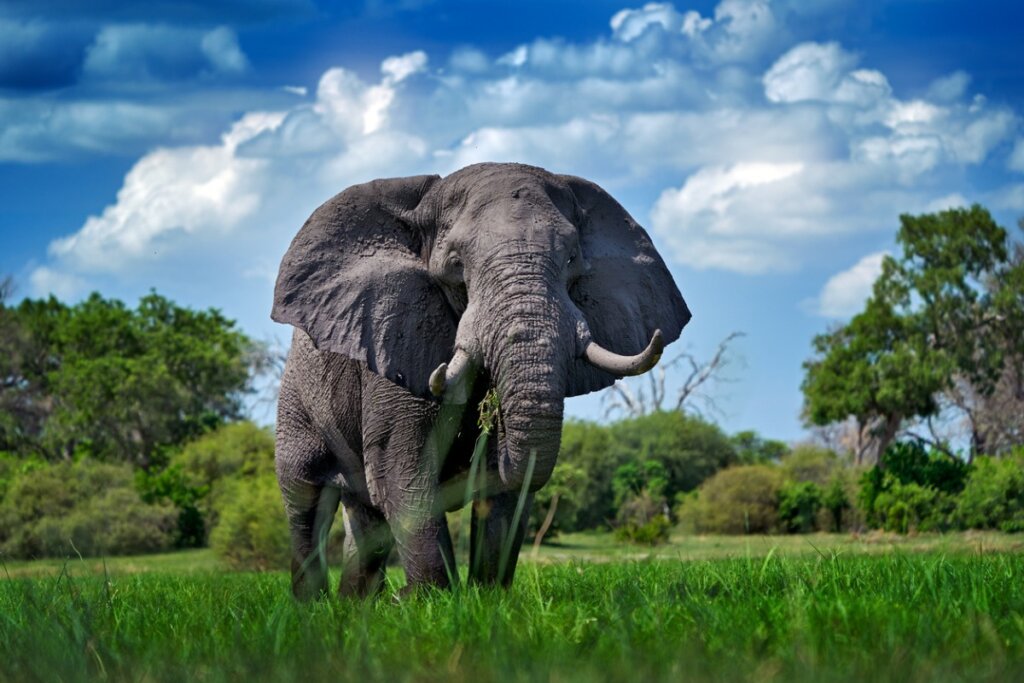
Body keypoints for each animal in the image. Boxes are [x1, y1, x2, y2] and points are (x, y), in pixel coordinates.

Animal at [271, 162, 690, 599]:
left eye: (573, 258)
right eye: (456, 264)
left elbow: (503, 491)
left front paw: (483, 600)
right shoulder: (393, 342)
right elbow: (401, 470)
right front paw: (428, 602)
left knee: (366, 519)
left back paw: (355, 606)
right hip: (297, 399)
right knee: (305, 498)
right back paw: (314, 606)